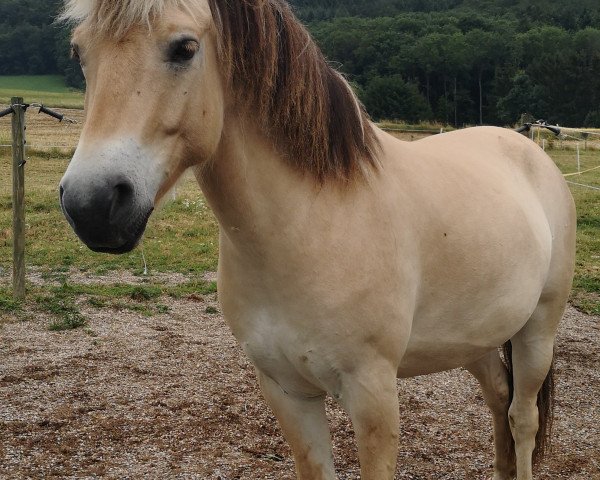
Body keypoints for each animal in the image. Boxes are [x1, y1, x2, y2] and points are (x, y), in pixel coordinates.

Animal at [57, 1, 576, 478]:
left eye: (184, 48)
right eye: (79, 52)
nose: (91, 205)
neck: (310, 225)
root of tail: (530, 149)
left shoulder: (373, 395)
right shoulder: (287, 390)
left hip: (537, 330)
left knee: (522, 417)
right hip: (476, 338)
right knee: (499, 397)